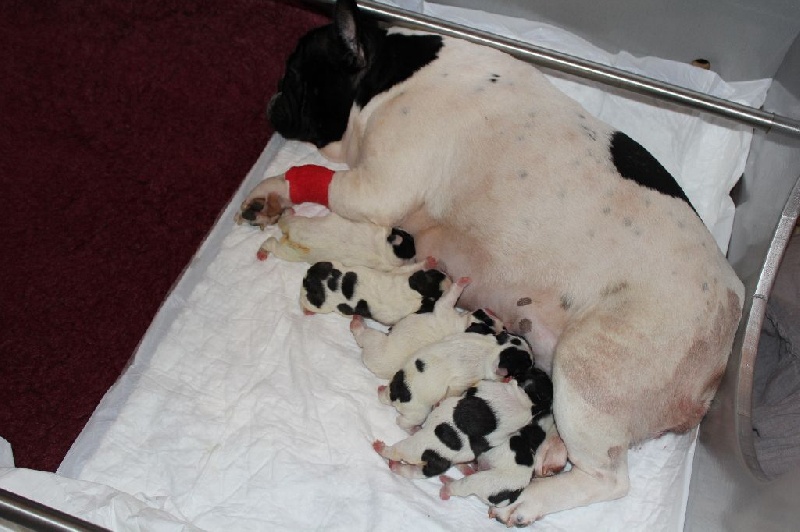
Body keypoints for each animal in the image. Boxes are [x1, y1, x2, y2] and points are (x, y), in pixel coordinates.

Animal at [255, 209, 416, 271]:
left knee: (275, 239)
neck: (384, 247)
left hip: (292, 250)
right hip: (297, 225)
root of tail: (291, 235)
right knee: (274, 235)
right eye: (409, 239)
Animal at [300, 258, 450, 325]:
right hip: (319, 304)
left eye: (435, 274)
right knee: (306, 302)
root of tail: (309, 278)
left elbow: (404, 268)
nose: (450, 279)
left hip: (330, 263)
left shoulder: (400, 274)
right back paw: (307, 310)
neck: (410, 291)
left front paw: (429, 262)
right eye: (438, 297)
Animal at [350, 276, 505, 378]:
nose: (492, 312)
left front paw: (461, 282)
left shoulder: (444, 307)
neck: (465, 325)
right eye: (488, 319)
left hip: (375, 341)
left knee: (362, 336)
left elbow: (451, 294)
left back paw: (357, 322)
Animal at [377, 328, 534, 431]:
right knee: (402, 421)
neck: (494, 347)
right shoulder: (465, 380)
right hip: (417, 412)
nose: (534, 363)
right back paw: (412, 429)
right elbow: (454, 391)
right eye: (522, 368)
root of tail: (393, 394)